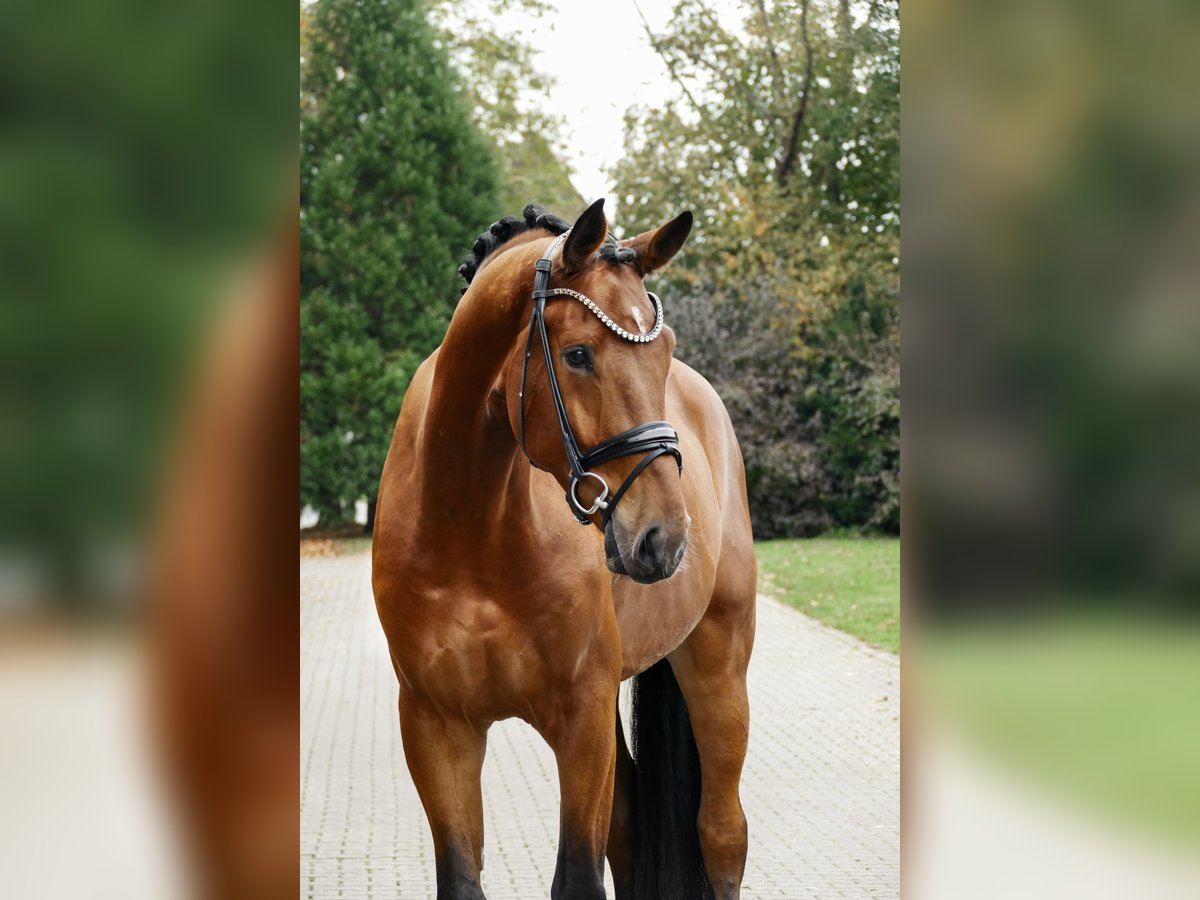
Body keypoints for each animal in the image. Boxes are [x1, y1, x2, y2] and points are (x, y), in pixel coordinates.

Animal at [369, 199, 753, 900]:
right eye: (577, 354)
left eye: (664, 353)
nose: (664, 537)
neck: (472, 531)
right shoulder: (436, 726)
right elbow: (462, 877)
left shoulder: (583, 717)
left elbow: (577, 876)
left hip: (718, 665)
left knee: (722, 835)